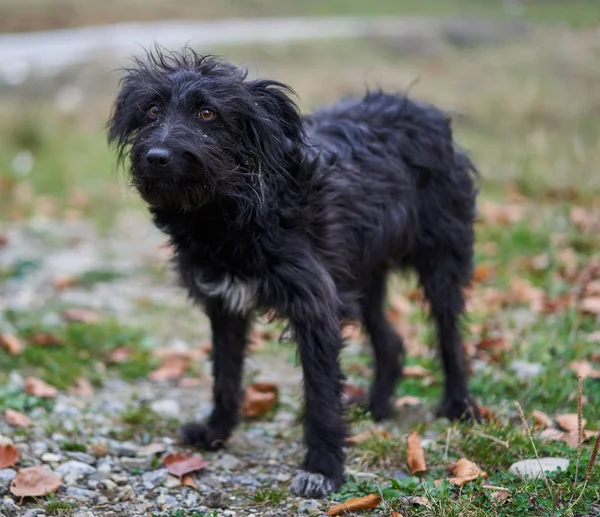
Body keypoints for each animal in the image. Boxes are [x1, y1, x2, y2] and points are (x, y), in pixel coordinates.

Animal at [108, 47, 480, 496]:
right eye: (152, 109)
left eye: (207, 113)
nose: (157, 157)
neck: (231, 211)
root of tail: (421, 110)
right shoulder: (225, 302)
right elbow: (225, 374)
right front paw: (217, 431)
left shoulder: (314, 307)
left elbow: (320, 394)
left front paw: (322, 468)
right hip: (360, 274)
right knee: (391, 341)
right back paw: (376, 406)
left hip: (439, 259)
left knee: (449, 334)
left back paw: (459, 405)